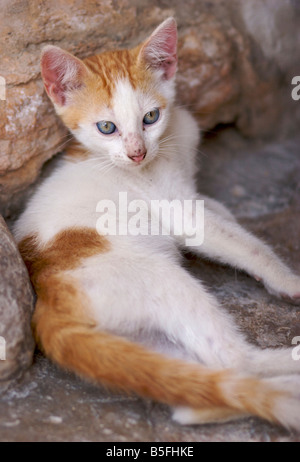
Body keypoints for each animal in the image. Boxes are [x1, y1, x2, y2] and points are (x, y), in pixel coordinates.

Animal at [12, 17, 300, 430]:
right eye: (106, 127)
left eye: (151, 117)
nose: (137, 153)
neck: (168, 145)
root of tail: (46, 307)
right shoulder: (179, 210)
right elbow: (243, 243)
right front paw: (286, 279)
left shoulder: (187, 190)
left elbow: (218, 211)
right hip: (158, 279)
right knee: (235, 359)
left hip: (136, 345)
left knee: (194, 395)